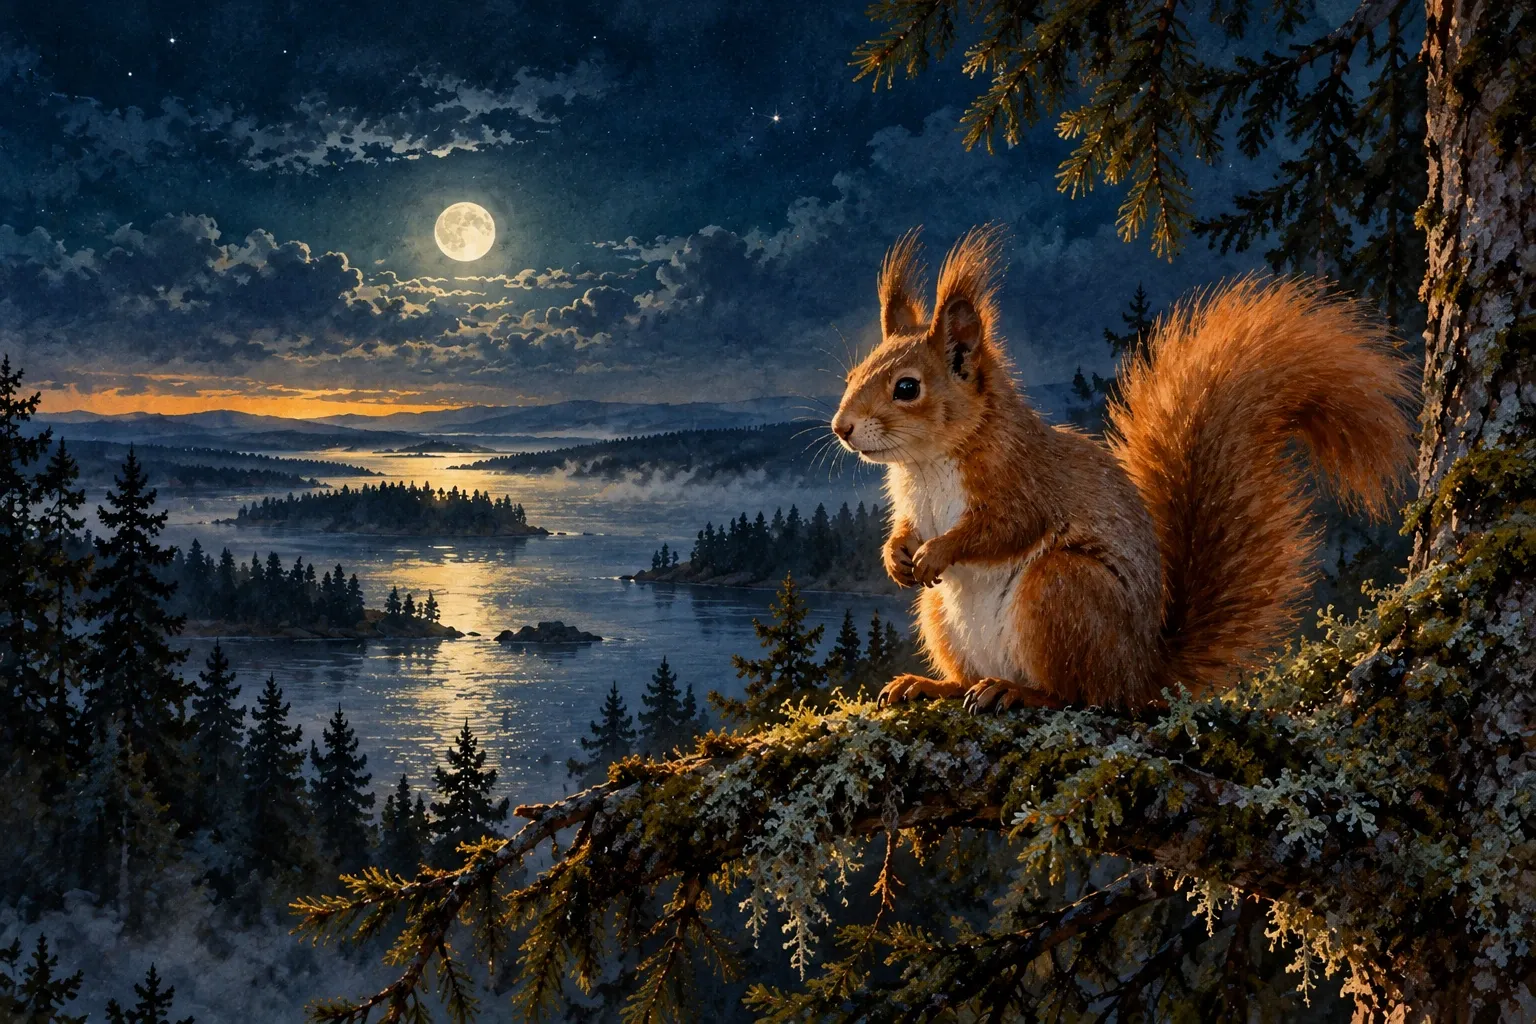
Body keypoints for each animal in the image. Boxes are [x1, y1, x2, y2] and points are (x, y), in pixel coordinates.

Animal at [830, 226, 1414, 712]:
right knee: (975, 677)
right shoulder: (914, 503)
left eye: (907, 387)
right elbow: (907, 528)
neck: (927, 463)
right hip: (941, 618)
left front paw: (937, 552)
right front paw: (897, 556)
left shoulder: (1023, 480)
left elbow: (1003, 528)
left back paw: (1015, 691)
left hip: (1063, 590)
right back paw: (931, 685)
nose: (841, 427)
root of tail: (1140, 674)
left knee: (1080, 695)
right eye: (854, 373)